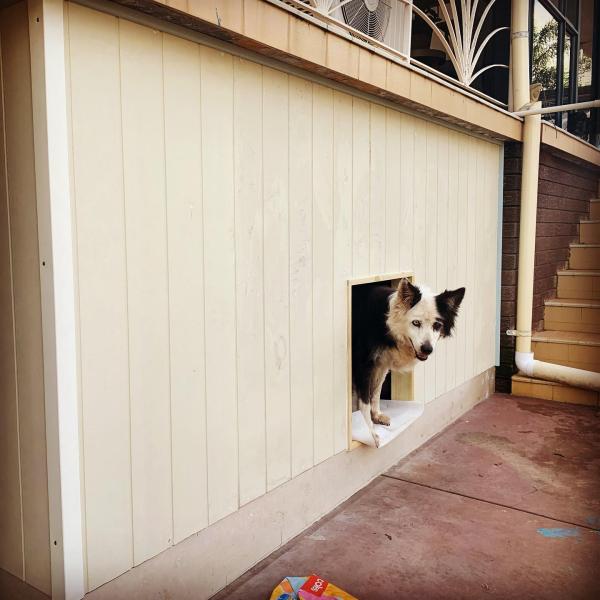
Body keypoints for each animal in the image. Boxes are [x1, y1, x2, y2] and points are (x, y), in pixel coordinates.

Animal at [352, 276, 464, 446]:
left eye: (437, 325)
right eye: (416, 323)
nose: (427, 349)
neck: (385, 325)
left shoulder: (382, 363)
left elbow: (376, 390)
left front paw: (376, 415)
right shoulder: (363, 364)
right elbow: (364, 400)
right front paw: (370, 432)